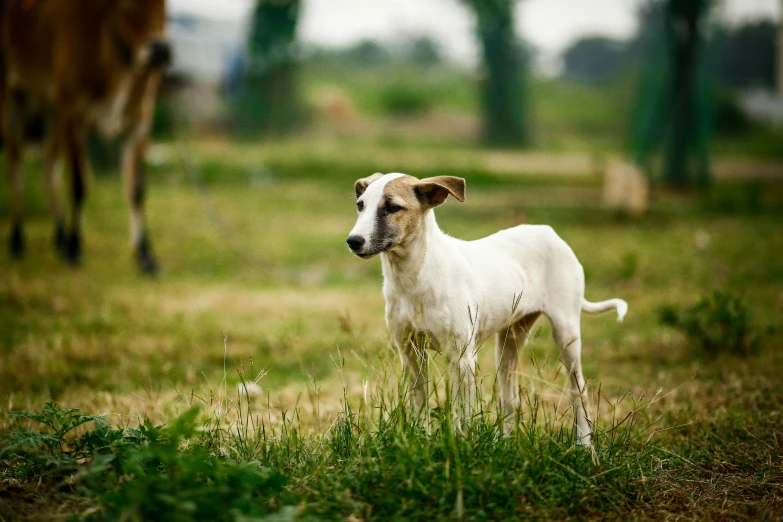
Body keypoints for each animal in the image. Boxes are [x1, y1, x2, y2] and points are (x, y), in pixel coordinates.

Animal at [0, 0, 171, 274]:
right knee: (16, 169)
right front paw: (74, 247)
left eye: (165, 4)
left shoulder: (140, 123)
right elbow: (80, 183)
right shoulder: (73, 116)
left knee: (49, 168)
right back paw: (18, 240)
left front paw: (145, 256)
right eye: (126, 4)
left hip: (52, 111)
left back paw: (58, 237)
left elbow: (136, 189)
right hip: (12, 94)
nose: (160, 51)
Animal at [346, 173, 628, 440]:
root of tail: (549, 231)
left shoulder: (462, 359)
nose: (353, 241)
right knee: (511, 399)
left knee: (578, 392)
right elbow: (420, 406)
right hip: (509, 343)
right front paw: (421, 439)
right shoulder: (410, 353)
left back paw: (584, 444)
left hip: (566, 334)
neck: (415, 277)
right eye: (360, 205)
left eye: (393, 207)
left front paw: (461, 444)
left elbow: (463, 414)